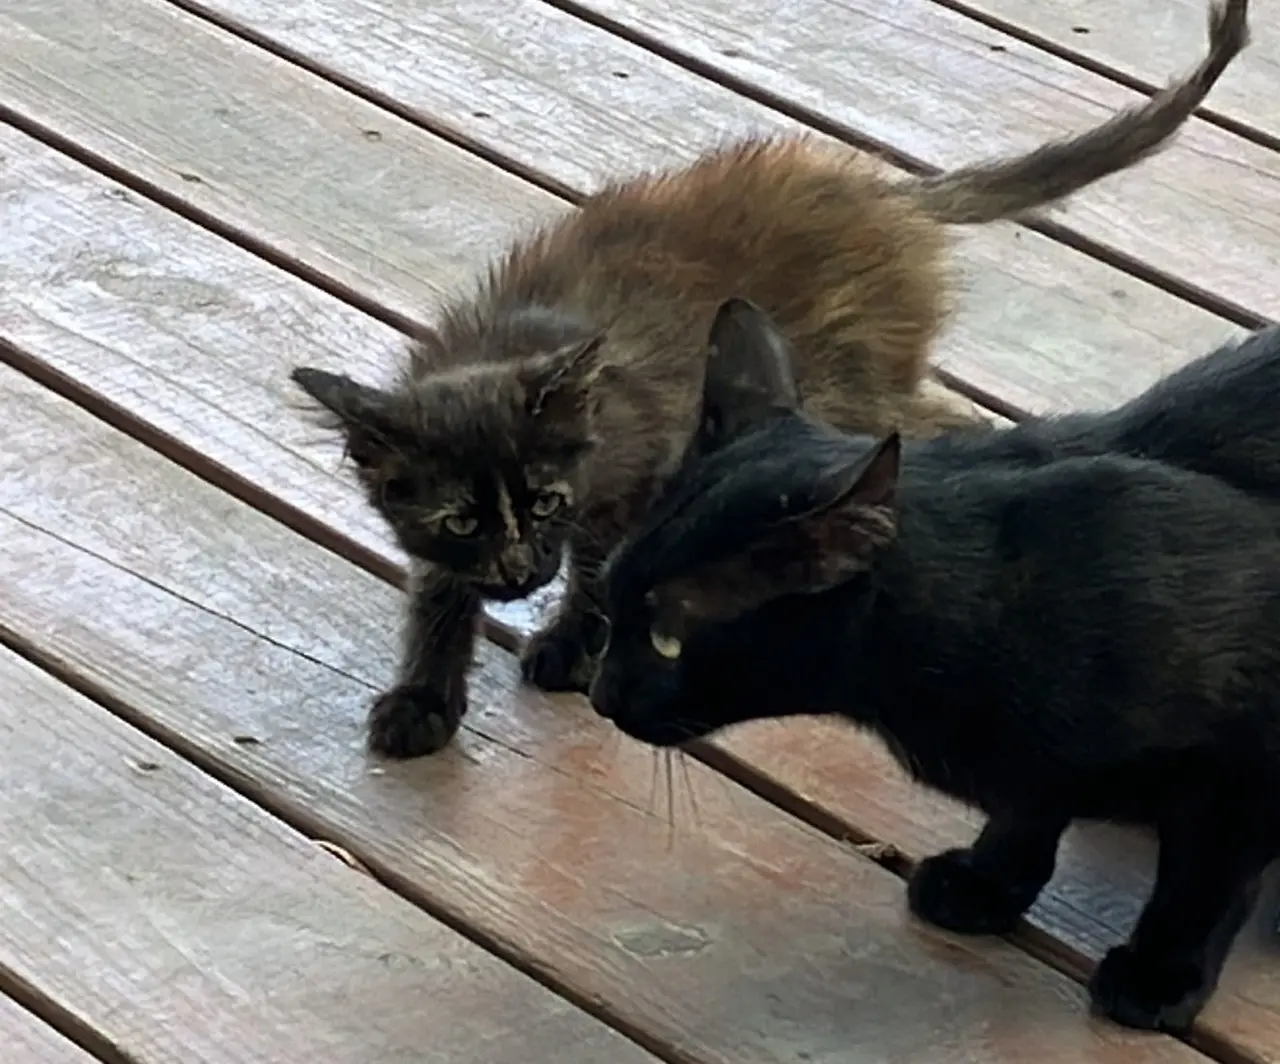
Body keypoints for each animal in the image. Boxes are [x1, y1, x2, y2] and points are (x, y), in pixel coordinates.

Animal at [290, 0, 1249, 757]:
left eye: (547, 503)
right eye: (461, 519)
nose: (523, 568)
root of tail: (889, 197)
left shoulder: (645, 468)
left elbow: (602, 568)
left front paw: (571, 642)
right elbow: (438, 592)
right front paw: (424, 695)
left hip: (848, 382)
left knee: (939, 421)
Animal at [591, 297, 1280, 1034]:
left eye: (668, 638)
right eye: (609, 591)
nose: (601, 696)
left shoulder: (1242, 765)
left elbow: (1200, 883)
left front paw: (1158, 975)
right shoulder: (1035, 770)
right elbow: (1029, 809)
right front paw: (985, 882)